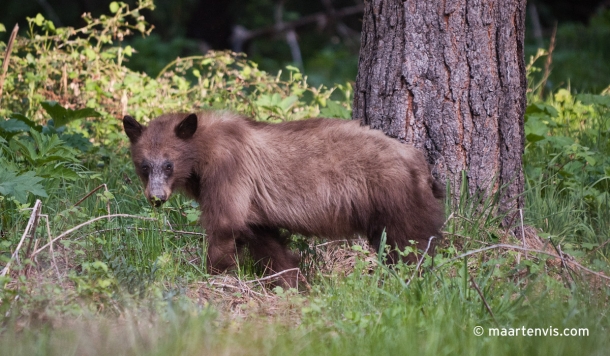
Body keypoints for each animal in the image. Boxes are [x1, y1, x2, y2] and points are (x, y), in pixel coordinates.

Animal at [123, 110, 444, 288]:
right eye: (144, 165)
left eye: (168, 165)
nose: (156, 198)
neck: (202, 150)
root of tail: (420, 163)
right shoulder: (253, 206)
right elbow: (265, 241)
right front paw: (294, 283)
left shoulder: (229, 170)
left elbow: (225, 224)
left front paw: (212, 275)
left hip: (395, 195)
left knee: (411, 243)